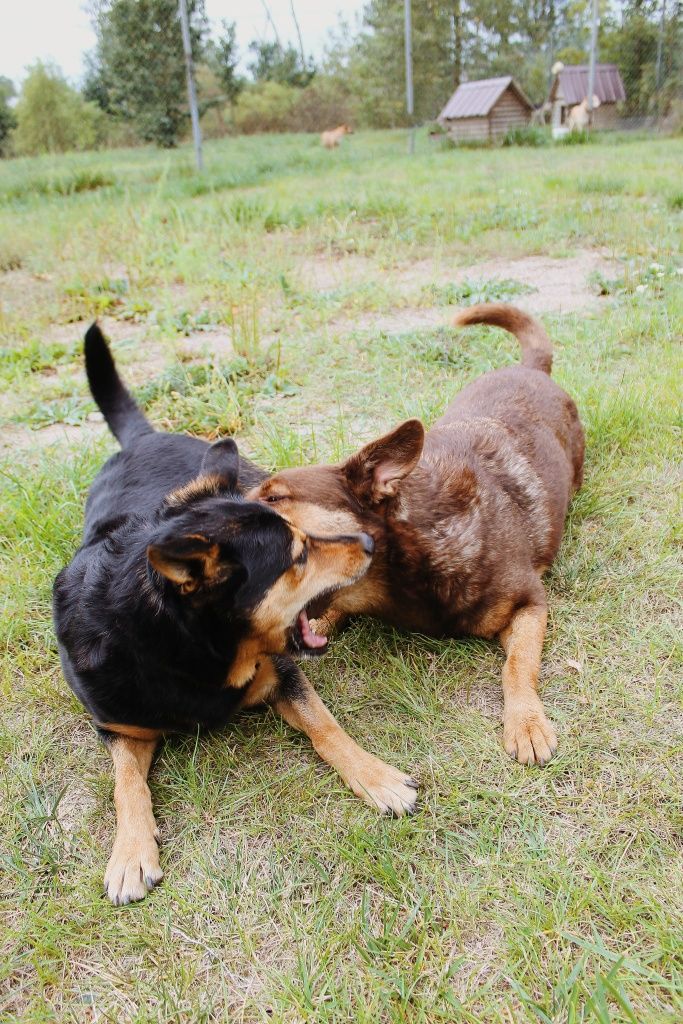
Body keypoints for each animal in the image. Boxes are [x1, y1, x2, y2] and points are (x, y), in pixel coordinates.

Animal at [53, 325, 417, 905]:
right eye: (298, 555)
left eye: (304, 535)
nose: (366, 542)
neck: (190, 657)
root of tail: (142, 439)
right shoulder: (116, 726)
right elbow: (125, 785)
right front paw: (130, 852)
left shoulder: (284, 672)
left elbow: (327, 726)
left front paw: (376, 776)